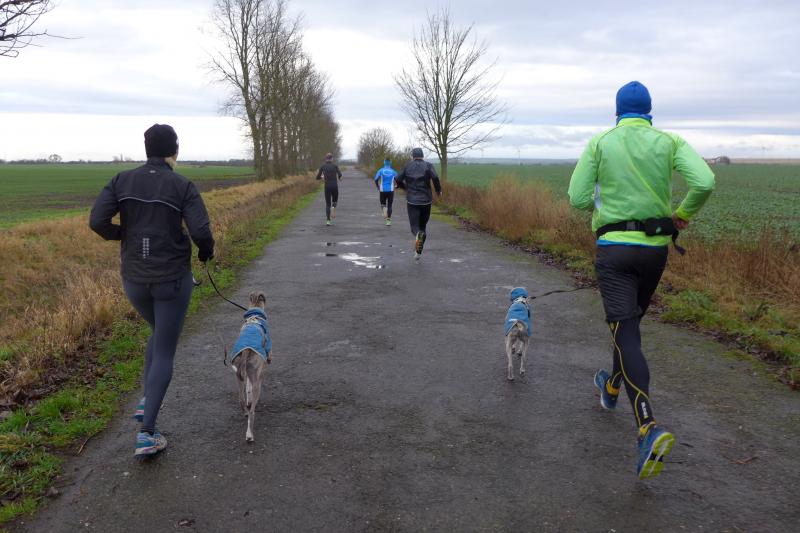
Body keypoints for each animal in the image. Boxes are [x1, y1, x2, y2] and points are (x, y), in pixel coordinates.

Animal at [228, 292, 272, 442]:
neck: (255, 314)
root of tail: (247, 350)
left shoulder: (247, 373)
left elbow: (248, 388)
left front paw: (249, 397)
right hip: (256, 379)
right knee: (252, 411)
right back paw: (249, 435)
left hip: (239, 374)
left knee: (241, 398)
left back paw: (245, 412)